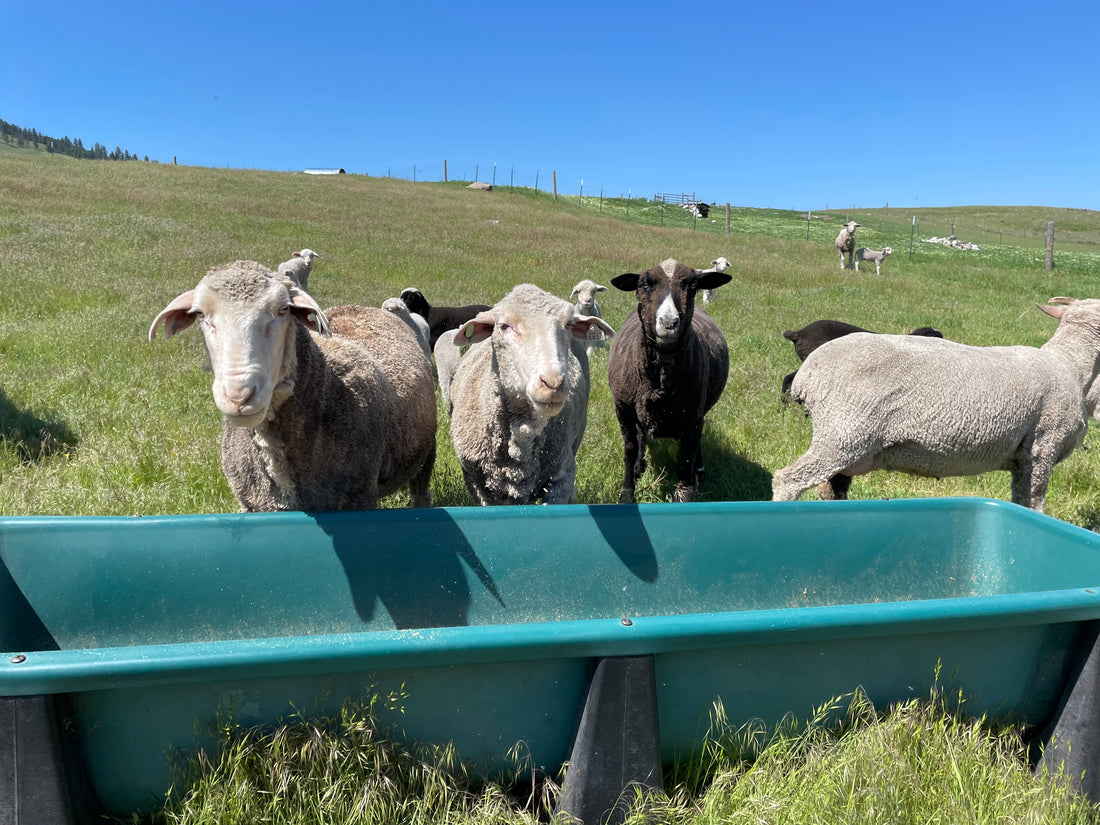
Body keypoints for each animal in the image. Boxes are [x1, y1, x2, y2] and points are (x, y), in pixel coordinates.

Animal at [149, 260, 437, 512]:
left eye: (283, 310)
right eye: (200, 314)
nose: (238, 396)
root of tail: (361, 308)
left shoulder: (359, 497)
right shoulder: (253, 504)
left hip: (426, 448)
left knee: (420, 487)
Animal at [608, 258, 732, 503]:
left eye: (692, 286)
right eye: (645, 284)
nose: (668, 322)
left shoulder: (692, 417)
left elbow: (685, 460)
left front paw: (684, 495)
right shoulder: (623, 409)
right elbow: (630, 449)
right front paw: (627, 492)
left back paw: (699, 470)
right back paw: (639, 467)